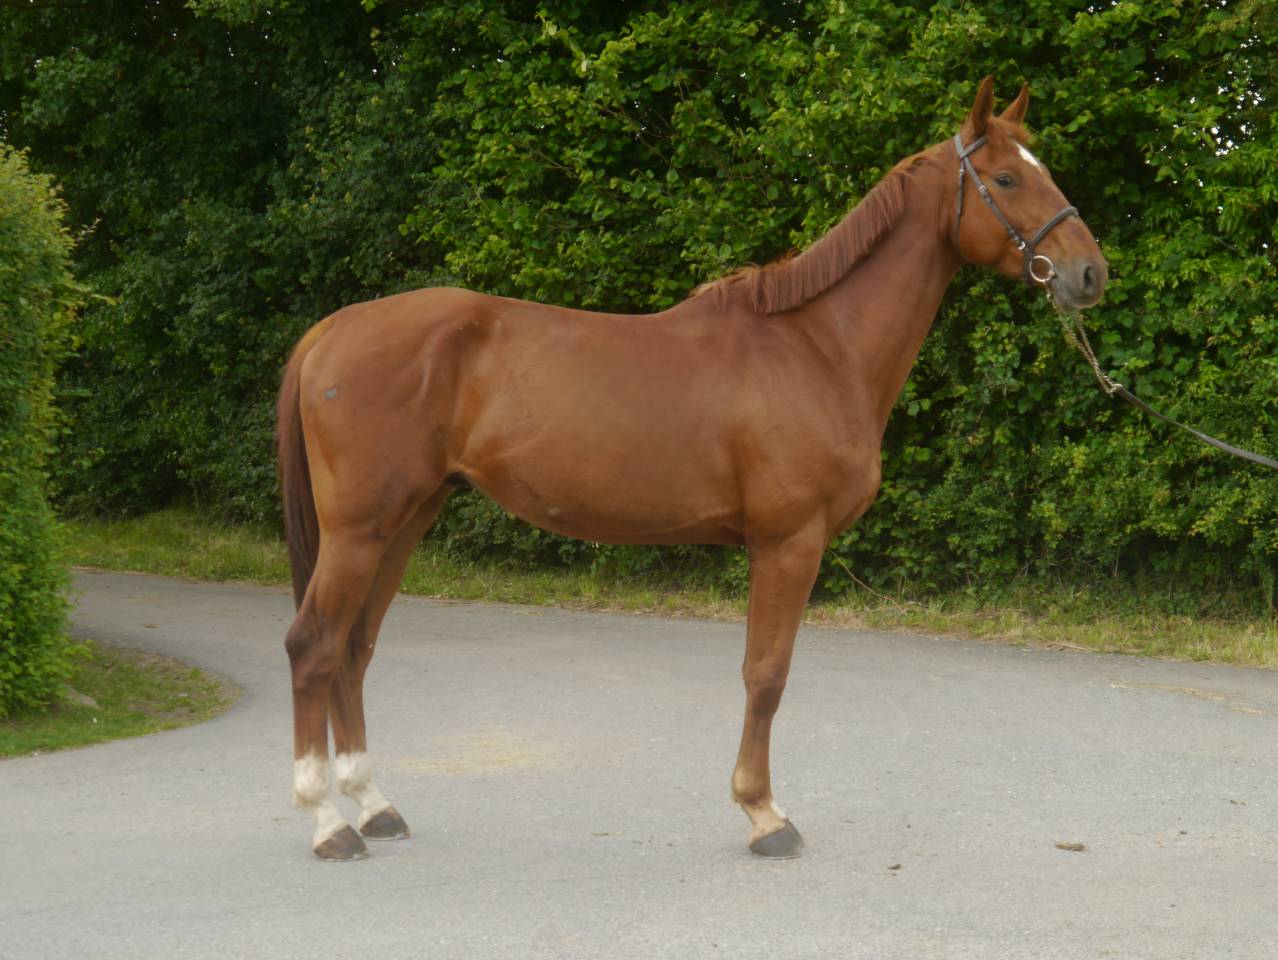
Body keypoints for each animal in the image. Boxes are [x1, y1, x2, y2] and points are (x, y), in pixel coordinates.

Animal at [276, 77, 1107, 861]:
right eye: (1005, 178)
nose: (1090, 273)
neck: (817, 348)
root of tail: (330, 330)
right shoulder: (788, 543)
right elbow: (766, 675)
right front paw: (764, 814)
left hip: (405, 519)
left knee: (354, 646)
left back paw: (373, 806)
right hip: (360, 529)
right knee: (314, 645)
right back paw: (327, 823)